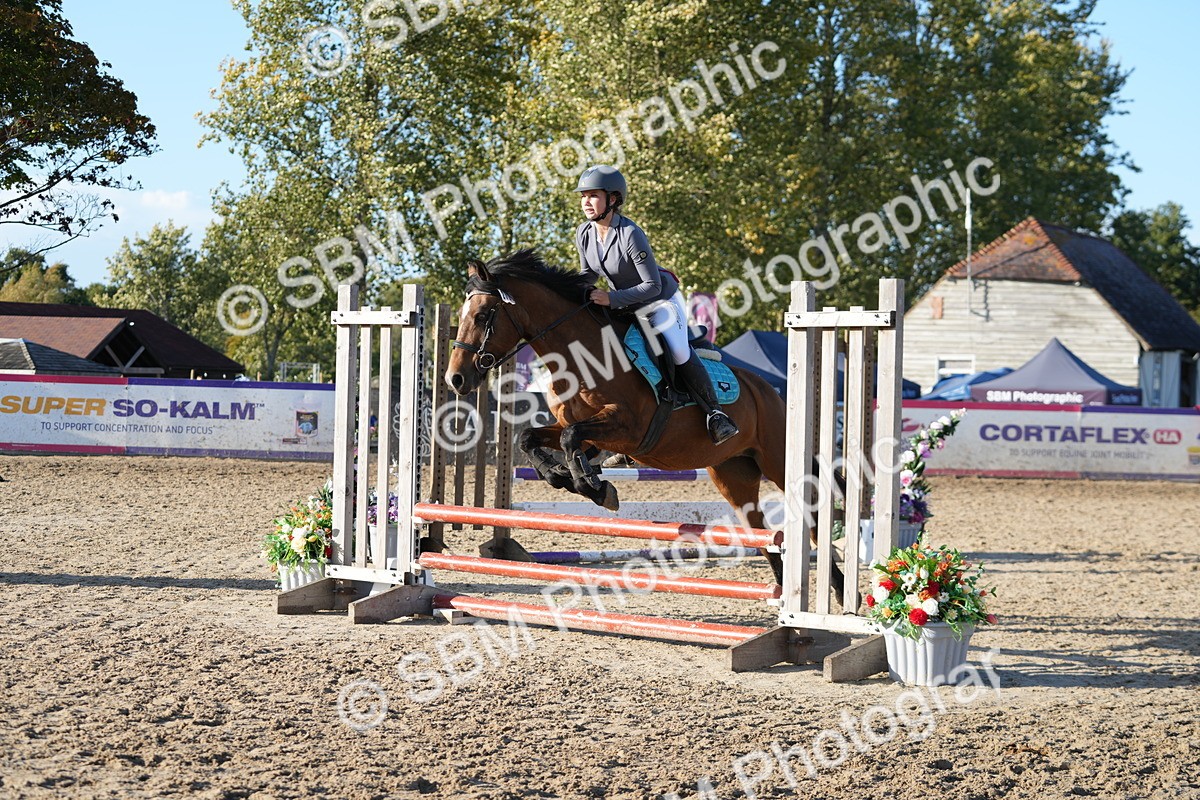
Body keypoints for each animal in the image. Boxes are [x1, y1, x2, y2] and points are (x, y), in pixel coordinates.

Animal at [444, 249, 846, 595]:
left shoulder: (626, 428)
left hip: (778, 460)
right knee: (760, 530)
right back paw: (781, 590)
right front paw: (568, 478)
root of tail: (769, 390)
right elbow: (533, 438)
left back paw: (838, 590)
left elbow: (572, 440)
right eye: (461, 316)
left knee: (810, 514)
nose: (456, 380)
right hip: (733, 474)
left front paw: (594, 487)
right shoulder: (587, 432)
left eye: (483, 316)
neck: (582, 356)